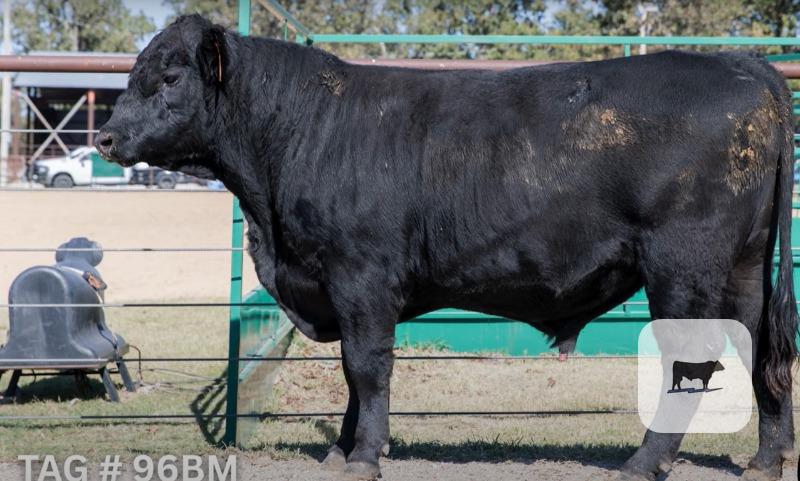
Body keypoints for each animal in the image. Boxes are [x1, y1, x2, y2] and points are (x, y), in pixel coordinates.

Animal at [95, 15, 798, 481]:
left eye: (170, 75)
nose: (105, 137)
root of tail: (743, 65)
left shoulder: (361, 277)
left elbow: (367, 368)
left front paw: (364, 456)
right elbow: (351, 374)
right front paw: (340, 449)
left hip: (682, 266)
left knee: (692, 360)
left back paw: (643, 462)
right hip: (742, 268)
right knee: (761, 346)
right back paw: (766, 459)